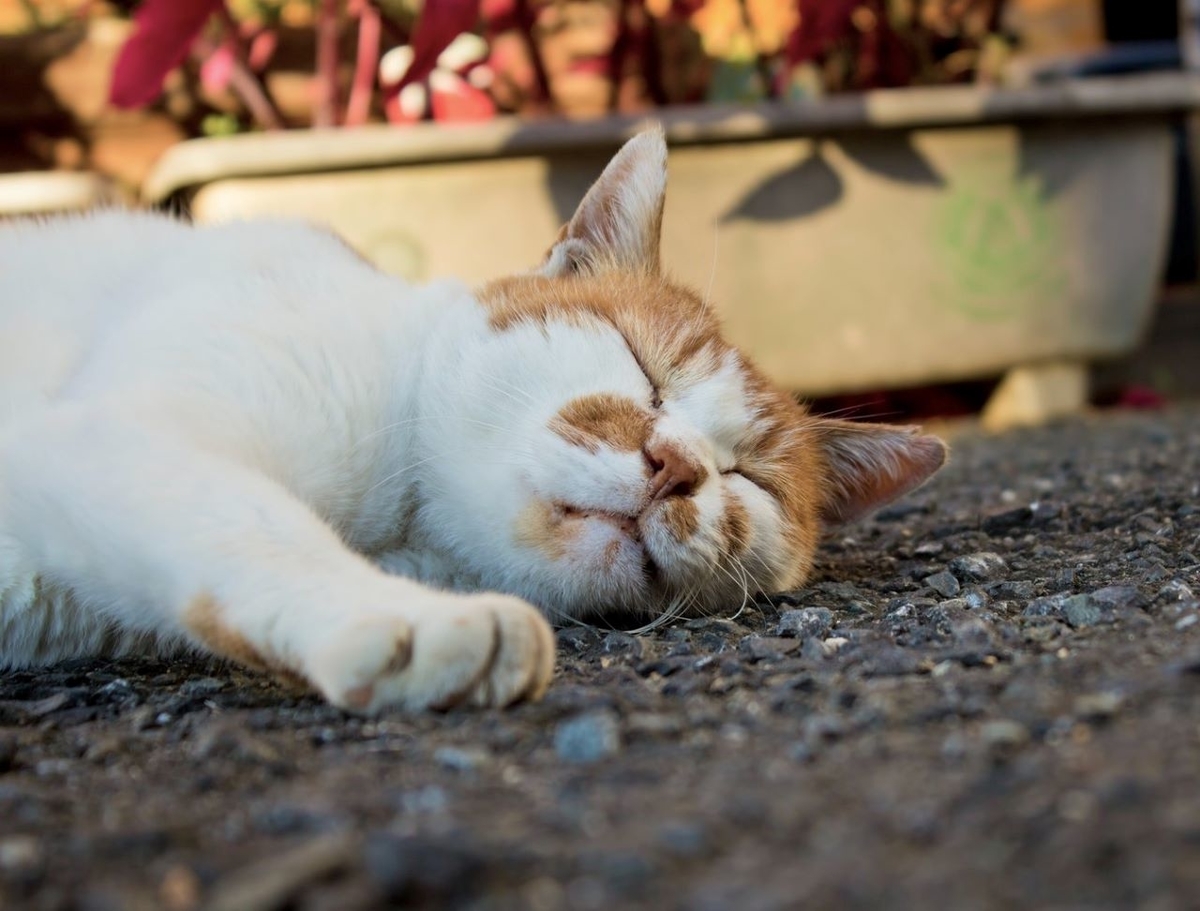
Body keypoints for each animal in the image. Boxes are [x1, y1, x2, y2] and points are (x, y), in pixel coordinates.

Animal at [0, 128, 945, 710]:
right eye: (645, 369)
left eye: (747, 478)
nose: (676, 466)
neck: (402, 524)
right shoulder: (125, 434)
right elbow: (255, 522)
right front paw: (406, 620)